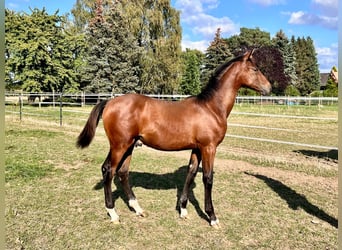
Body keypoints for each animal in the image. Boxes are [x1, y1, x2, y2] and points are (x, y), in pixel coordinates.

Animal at [76, 49, 272, 228]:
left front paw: (183, 210)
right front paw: (212, 217)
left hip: (129, 145)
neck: (211, 107)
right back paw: (113, 213)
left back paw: (137, 209)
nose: (269, 88)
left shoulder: (197, 148)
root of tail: (109, 101)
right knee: (108, 170)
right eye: (255, 69)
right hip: (119, 145)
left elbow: (191, 173)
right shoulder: (209, 147)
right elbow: (207, 179)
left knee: (123, 172)